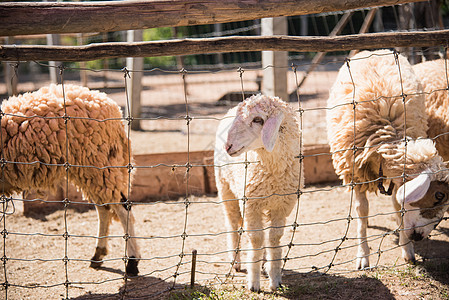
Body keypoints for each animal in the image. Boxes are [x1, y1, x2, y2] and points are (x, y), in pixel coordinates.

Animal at [0, 83, 140, 276]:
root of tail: (111, 105)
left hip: (98, 163)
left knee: (122, 208)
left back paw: (132, 262)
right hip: (90, 169)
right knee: (104, 208)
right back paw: (98, 255)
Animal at [214, 95, 300, 292]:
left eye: (258, 120)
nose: (228, 146)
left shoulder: (281, 206)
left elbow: (274, 238)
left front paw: (275, 279)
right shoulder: (251, 204)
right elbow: (256, 239)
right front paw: (253, 283)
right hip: (225, 188)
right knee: (232, 224)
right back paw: (236, 261)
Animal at [326, 49, 448, 270]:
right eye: (439, 195)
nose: (419, 237)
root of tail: (372, 51)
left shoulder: (397, 181)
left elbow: (398, 206)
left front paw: (407, 250)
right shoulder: (355, 172)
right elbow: (362, 210)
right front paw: (363, 255)